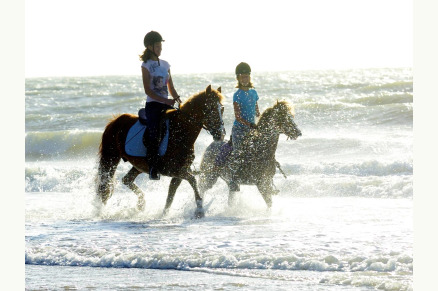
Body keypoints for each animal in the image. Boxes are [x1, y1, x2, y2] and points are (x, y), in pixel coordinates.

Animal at [96, 85, 226, 218]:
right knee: (105, 184)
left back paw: (141, 204)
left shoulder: (180, 172)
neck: (181, 132)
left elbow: (171, 194)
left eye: (222, 109)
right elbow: (192, 180)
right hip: (110, 158)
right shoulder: (174, 170)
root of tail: (115, 120)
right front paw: (199, 209)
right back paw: (101, 210)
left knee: (126, 180)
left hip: (139, 165)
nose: (220, 134)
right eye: (210, 109)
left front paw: (164, 213)